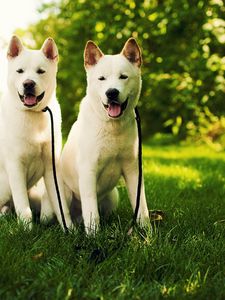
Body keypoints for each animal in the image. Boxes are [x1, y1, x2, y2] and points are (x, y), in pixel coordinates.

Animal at [0, 36, 72, 229]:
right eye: (20, 71)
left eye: (40, 71)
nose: (28, 84)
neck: (33, 115)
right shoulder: (15, 167)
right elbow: (23, 208)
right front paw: (26, 230)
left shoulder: (51, 167)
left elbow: (61, 205)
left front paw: (70, 229)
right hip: (5, 186)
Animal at [60, 38, 150, 234]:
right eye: (101, 79)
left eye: (123, 77)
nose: (112, 92)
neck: (112, 126)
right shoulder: (88, 171)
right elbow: (91, 211)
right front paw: (94, 236)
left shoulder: (133, 169)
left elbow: (141, 205)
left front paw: (147, 231)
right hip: (63, 196)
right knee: (65, 216)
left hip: (113, 195)